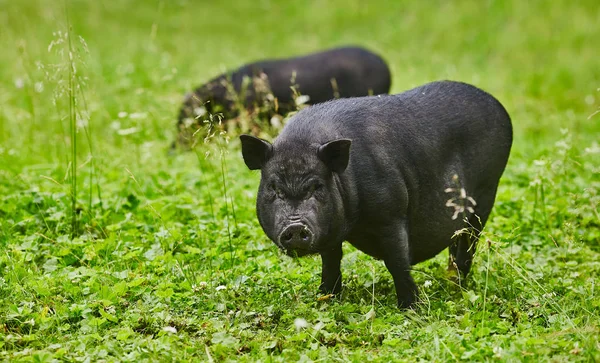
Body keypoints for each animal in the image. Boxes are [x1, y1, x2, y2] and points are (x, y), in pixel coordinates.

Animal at [239, 81, 510, 308]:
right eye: (274, 188)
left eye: (317, 186)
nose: (295, 226)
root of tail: (498, 106)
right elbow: (331, 261)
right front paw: (325, 298)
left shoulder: (391, 212)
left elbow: (397, 261)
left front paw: (411, 308)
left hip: (485, 193)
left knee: (467, 243)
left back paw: (457, 287)